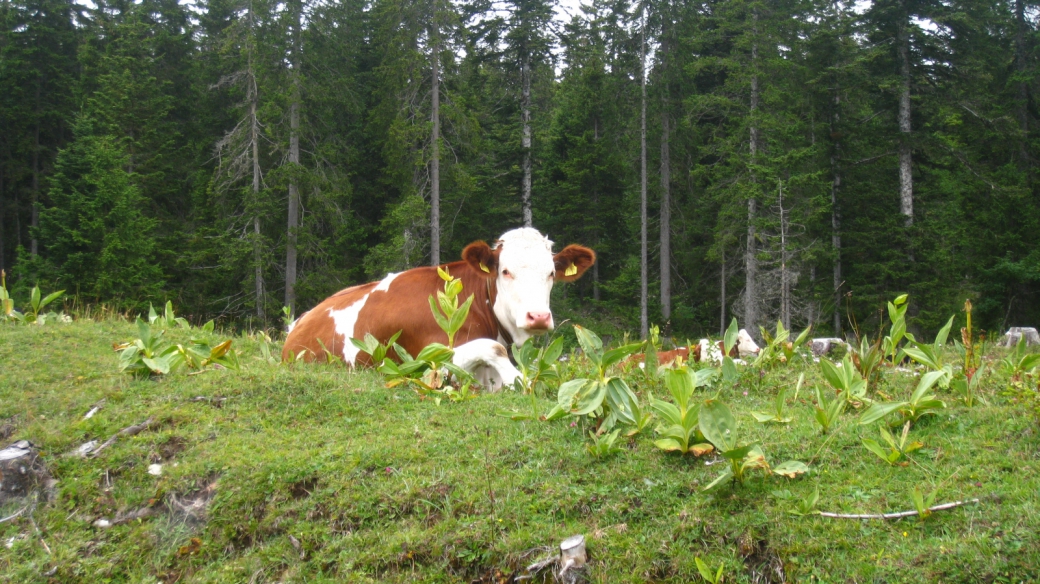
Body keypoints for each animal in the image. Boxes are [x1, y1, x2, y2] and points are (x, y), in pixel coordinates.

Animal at [280, 227, 599, 386]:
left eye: (552, 273)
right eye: (506, 271)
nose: (538, 317)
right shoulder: (424, 363)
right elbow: (493, 350)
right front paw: (518, 380)